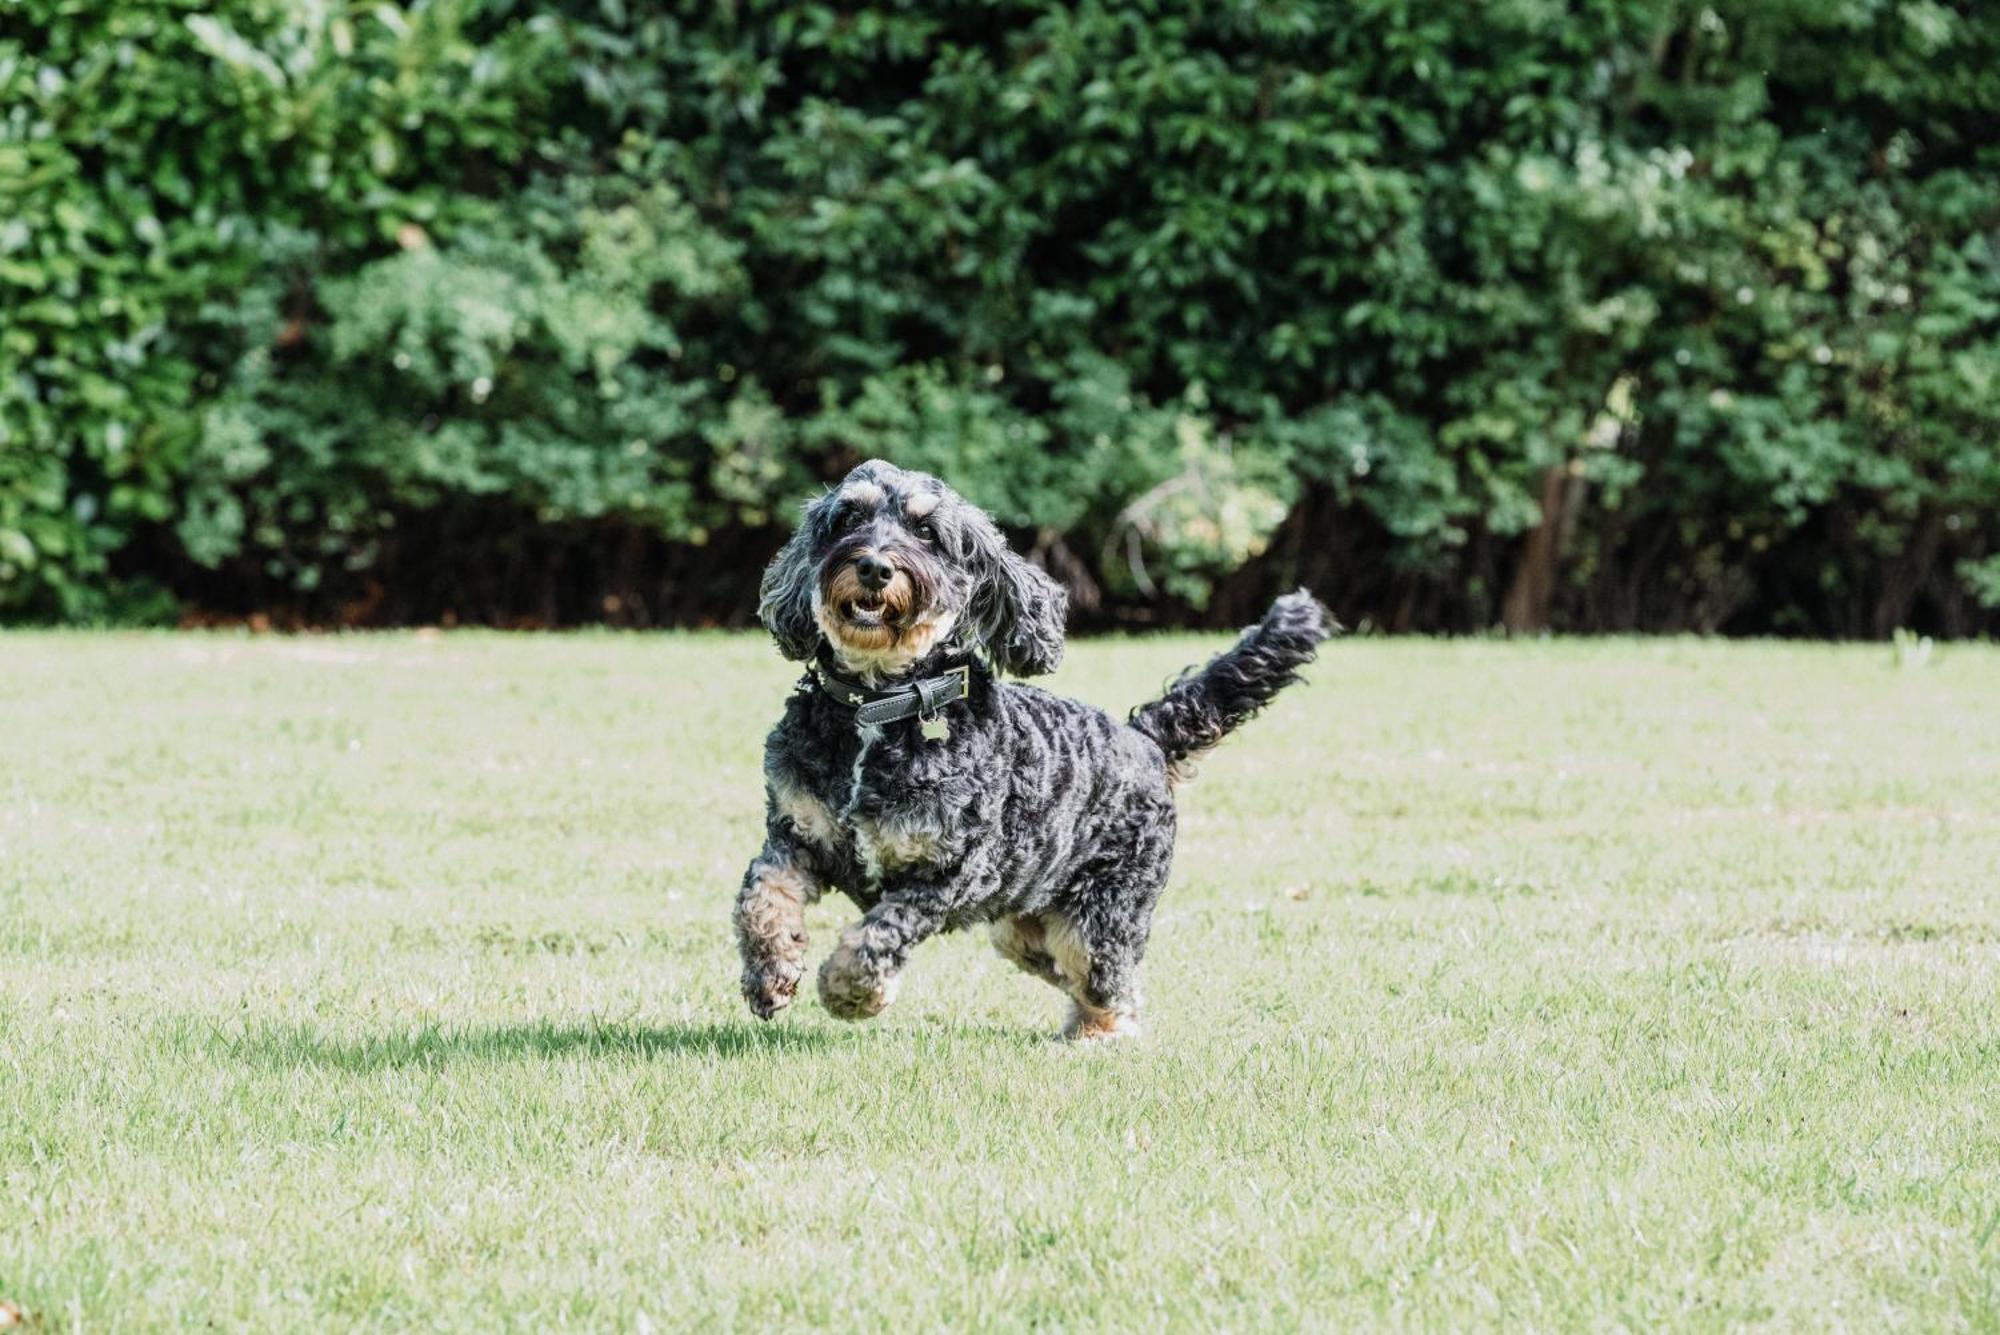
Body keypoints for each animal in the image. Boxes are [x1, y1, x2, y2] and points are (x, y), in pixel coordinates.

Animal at [736, 461, 1328, 1039]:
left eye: (926, 532)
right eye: (848, 518)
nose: (876, 567)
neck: (878, 710)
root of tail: (1144, 740)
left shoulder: (952, 872)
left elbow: (879, 932)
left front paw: (850, 991)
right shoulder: (795, 836)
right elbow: (762, 898)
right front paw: (771, 971)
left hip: (1100, 915)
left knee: (1108, 982)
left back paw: (1098, 1035)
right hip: (1024, 926)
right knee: (1077, 974)